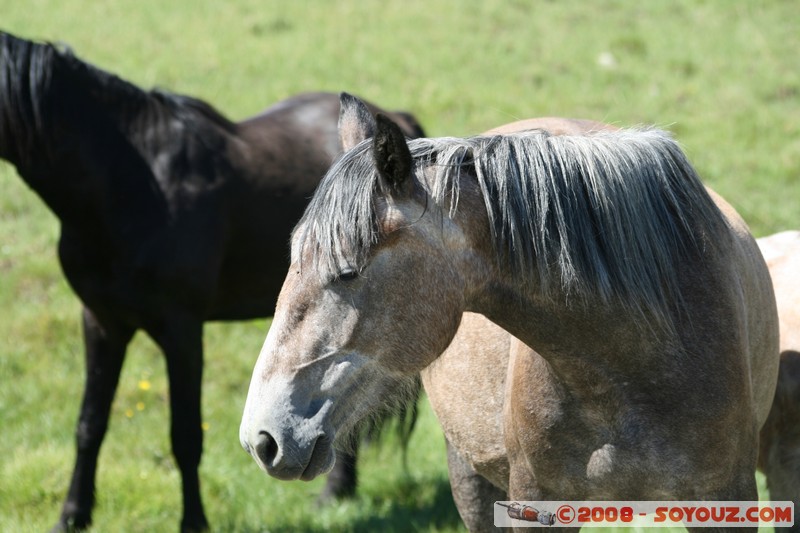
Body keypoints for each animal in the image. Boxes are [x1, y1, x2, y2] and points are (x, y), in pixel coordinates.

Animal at [0, 31, 424, 532]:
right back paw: (337, 494)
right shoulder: (102, 322)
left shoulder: (181, 330)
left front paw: (193, 521)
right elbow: (90, 424)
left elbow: (185, 435)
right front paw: (72, 515)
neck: (131, 184)